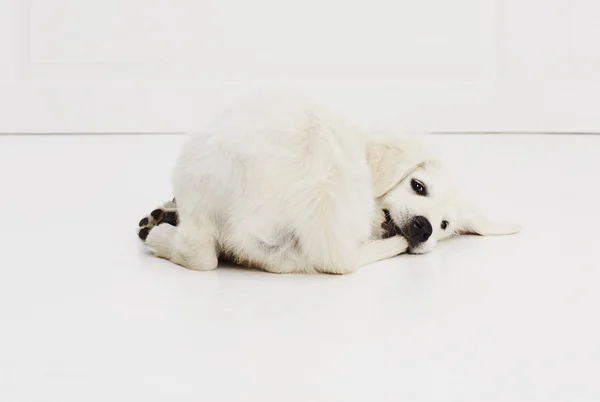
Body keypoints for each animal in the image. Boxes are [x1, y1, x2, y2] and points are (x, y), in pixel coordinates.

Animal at [136, 93, 516, 274]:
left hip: (196, 164)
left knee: (199, 253)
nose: (425, 228)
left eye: (444, 225)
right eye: (418, 186)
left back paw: (160, 233)